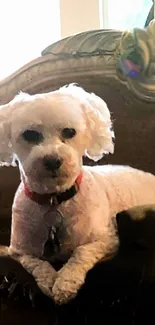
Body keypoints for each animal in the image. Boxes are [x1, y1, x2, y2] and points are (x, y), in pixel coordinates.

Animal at [0, 84, 155, 304]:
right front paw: (49, 280)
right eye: (29, 134)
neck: (54, 200)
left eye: (69, 131)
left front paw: (65, 283)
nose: (53, 160)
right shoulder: (20, 251)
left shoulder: (107, 241)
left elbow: (81, 252)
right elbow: (36, 263)